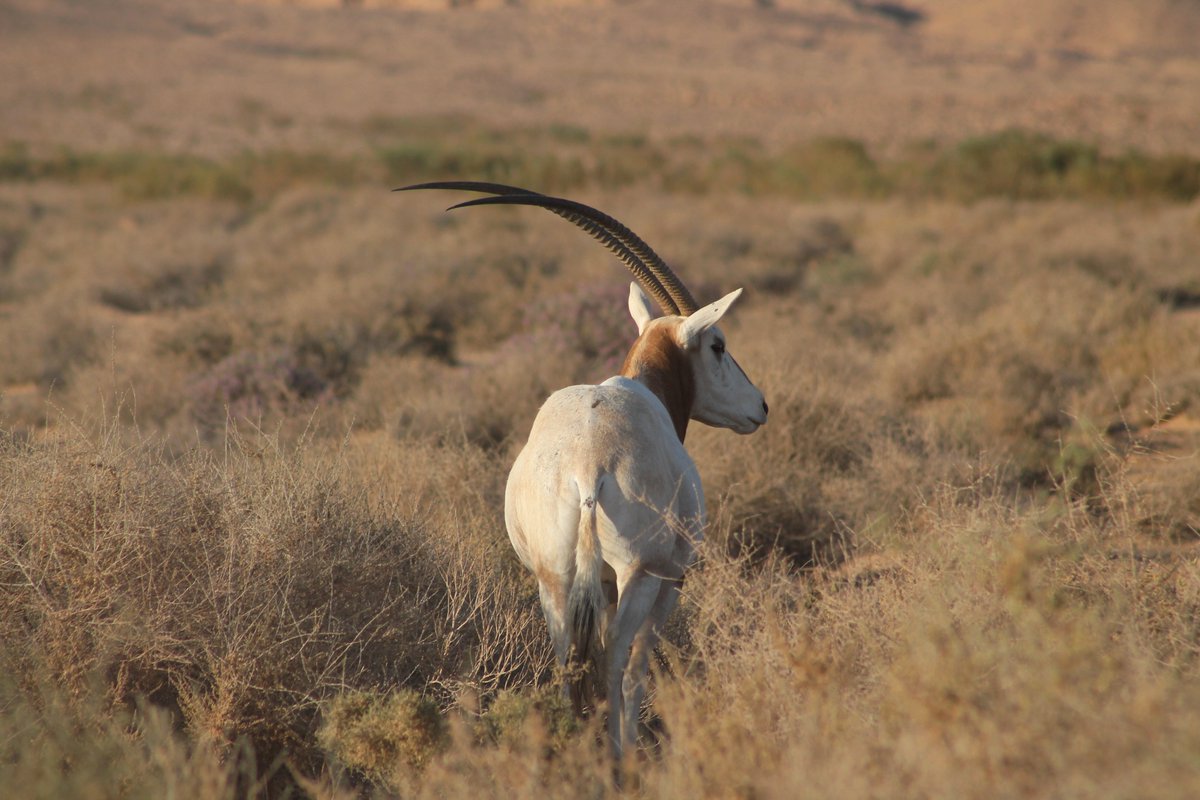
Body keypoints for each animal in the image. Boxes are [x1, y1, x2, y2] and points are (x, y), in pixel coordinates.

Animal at [398, 181, 768, 761]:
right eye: (718, 345)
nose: (760, 407)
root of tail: (587, 466)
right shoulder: (671, 578)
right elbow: (638, 664)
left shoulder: (596, 582)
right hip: (639, 573)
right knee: (618, 657)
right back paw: (618, 755)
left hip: (554, 575)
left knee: (568, 659)